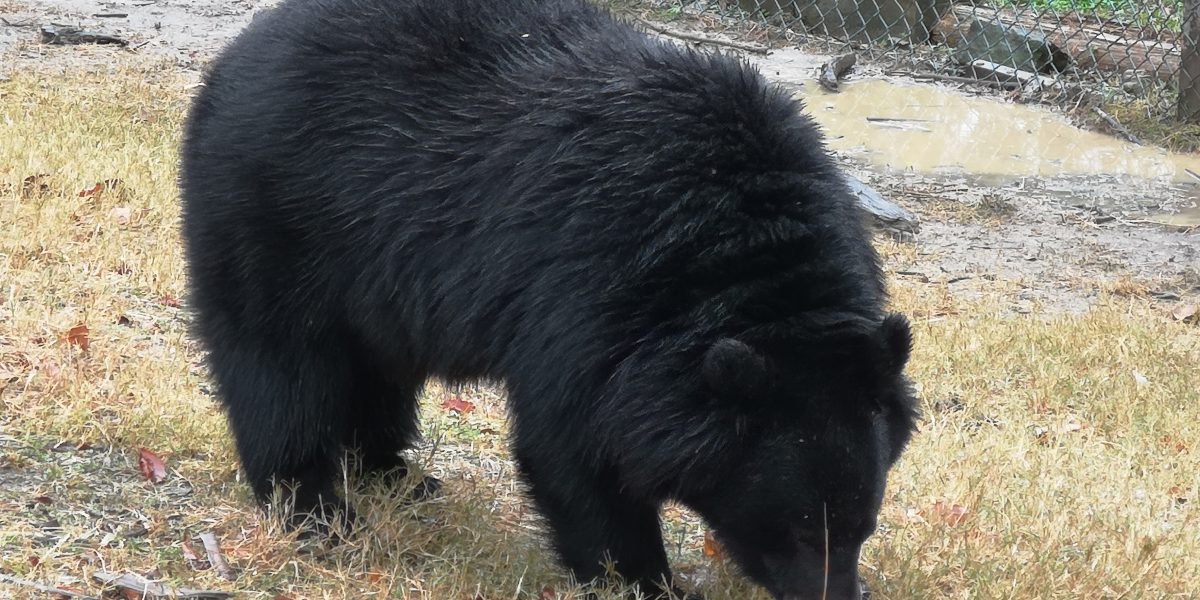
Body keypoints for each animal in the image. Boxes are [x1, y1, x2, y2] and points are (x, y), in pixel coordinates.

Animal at [180, 0, 916, 597]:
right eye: (798, 530)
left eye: (864, 526)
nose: (836, 596)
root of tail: (240, 51)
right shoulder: (592, 291)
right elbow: (576, 445)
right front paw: (645, 581)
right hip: (278, 215)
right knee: (279, 363)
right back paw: (315, 506)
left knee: (377, 366)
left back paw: (395, 474)